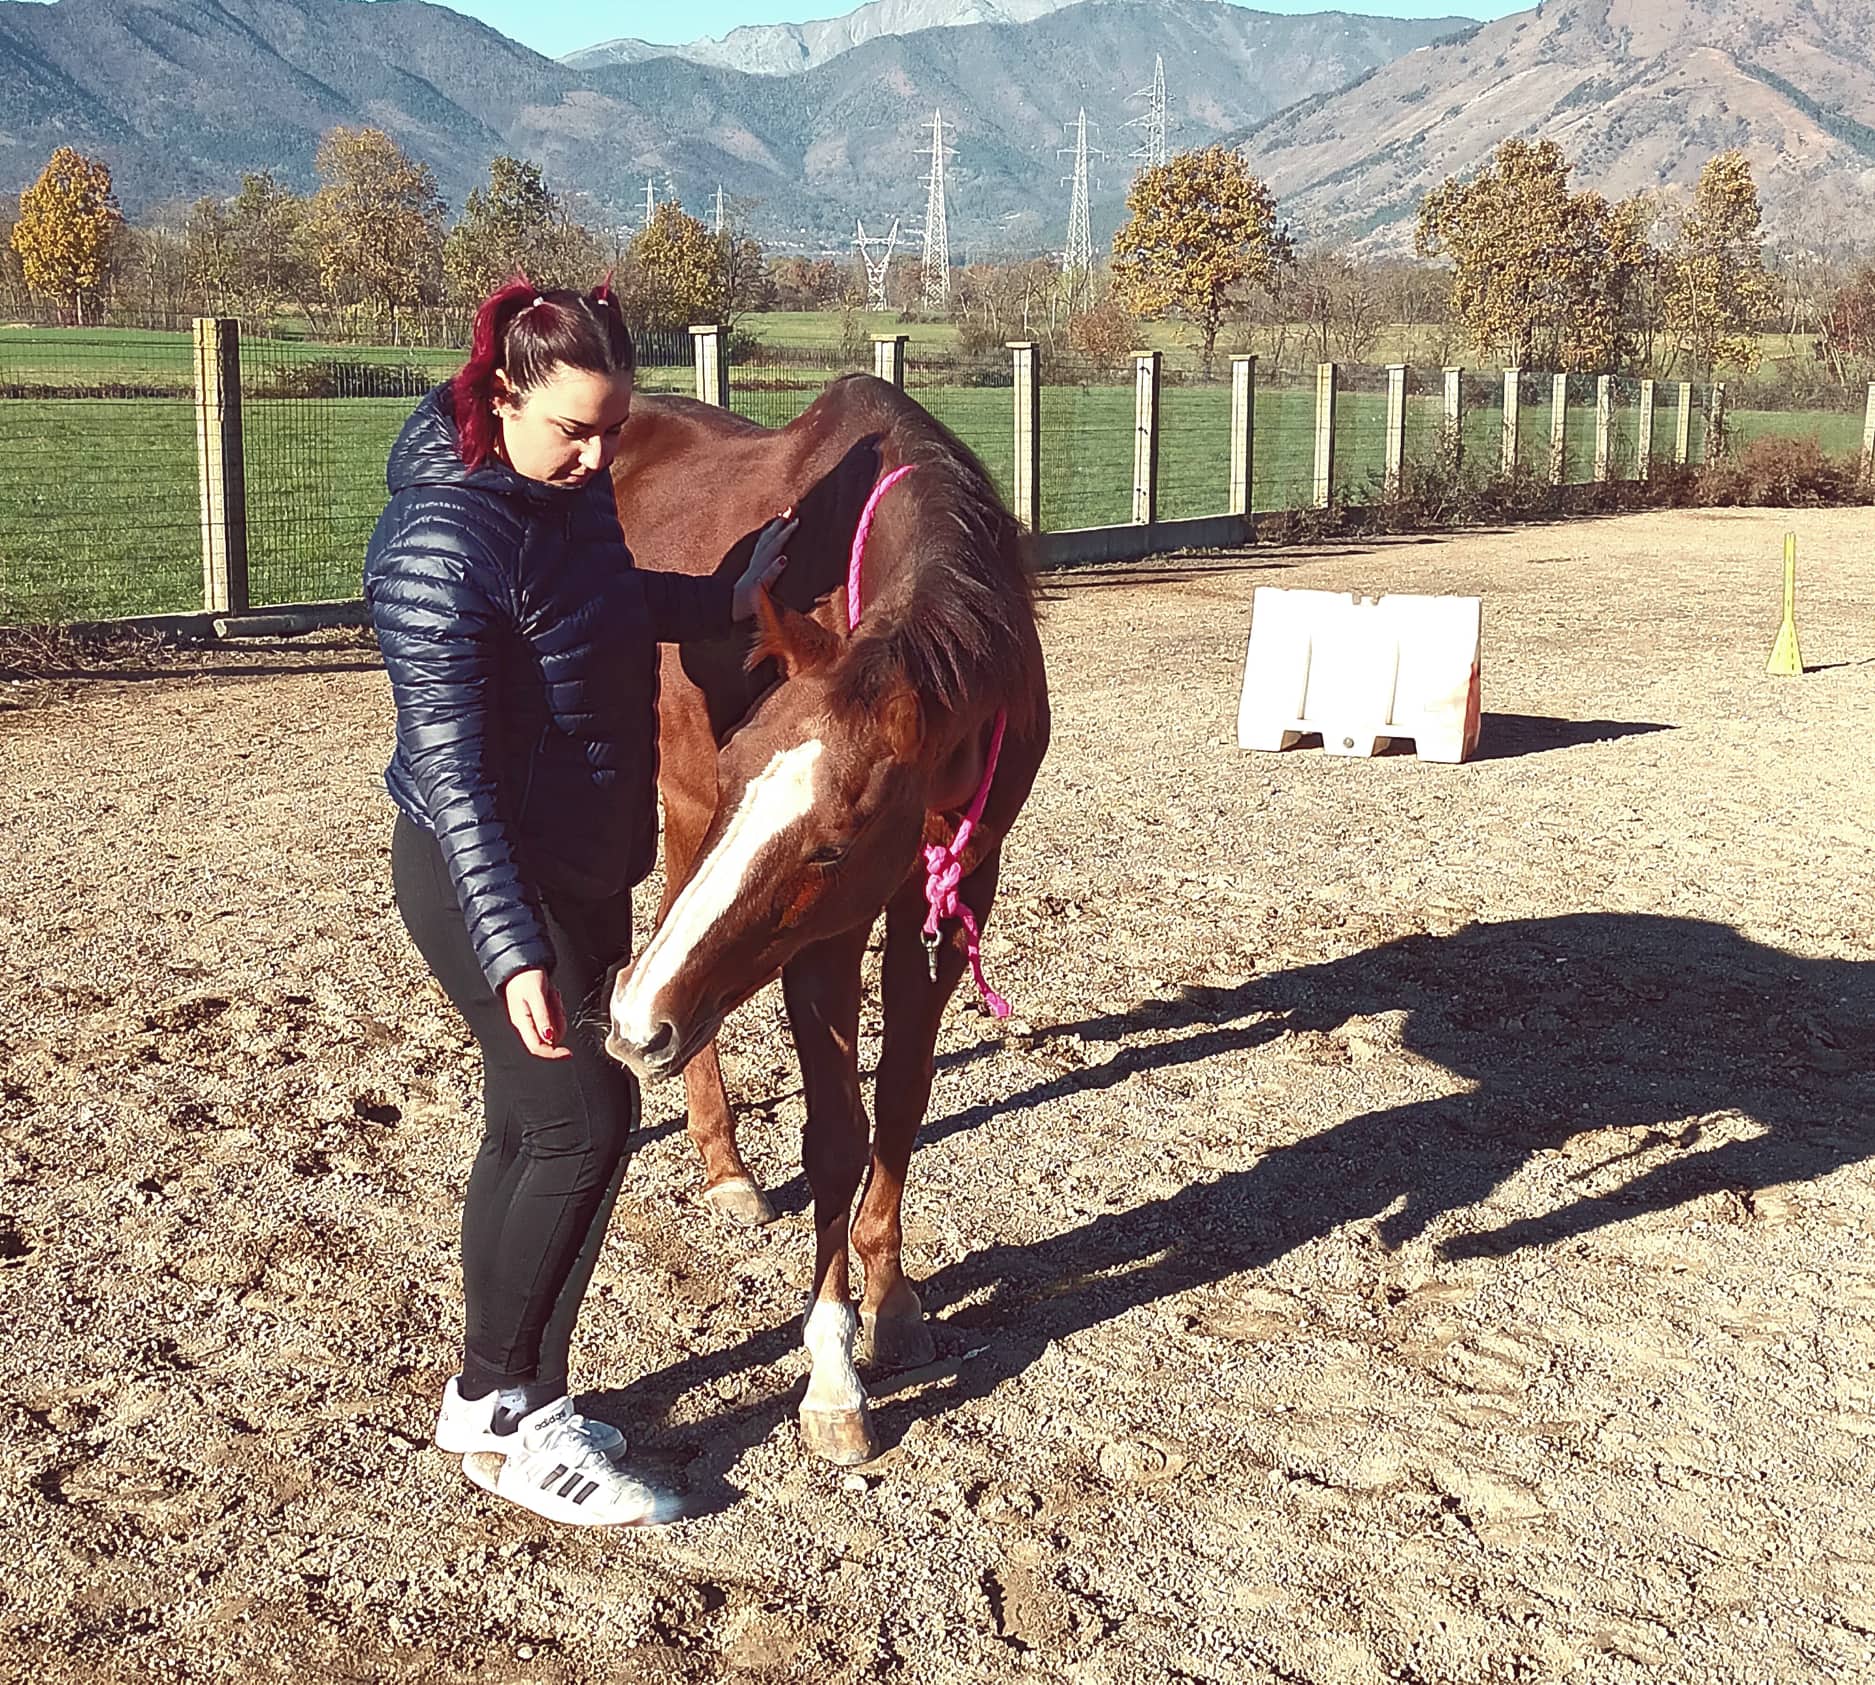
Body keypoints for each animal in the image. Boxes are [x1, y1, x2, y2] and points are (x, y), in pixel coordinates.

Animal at [601, 373, 1049, 1465]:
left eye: (832, 846)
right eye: (737, 771)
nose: (631, 1028)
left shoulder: (951, 890)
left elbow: (902, 1102)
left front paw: (894, 1300)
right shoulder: (823, 936)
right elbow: (836, 1136)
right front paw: (834, 1374)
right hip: (674, 809)